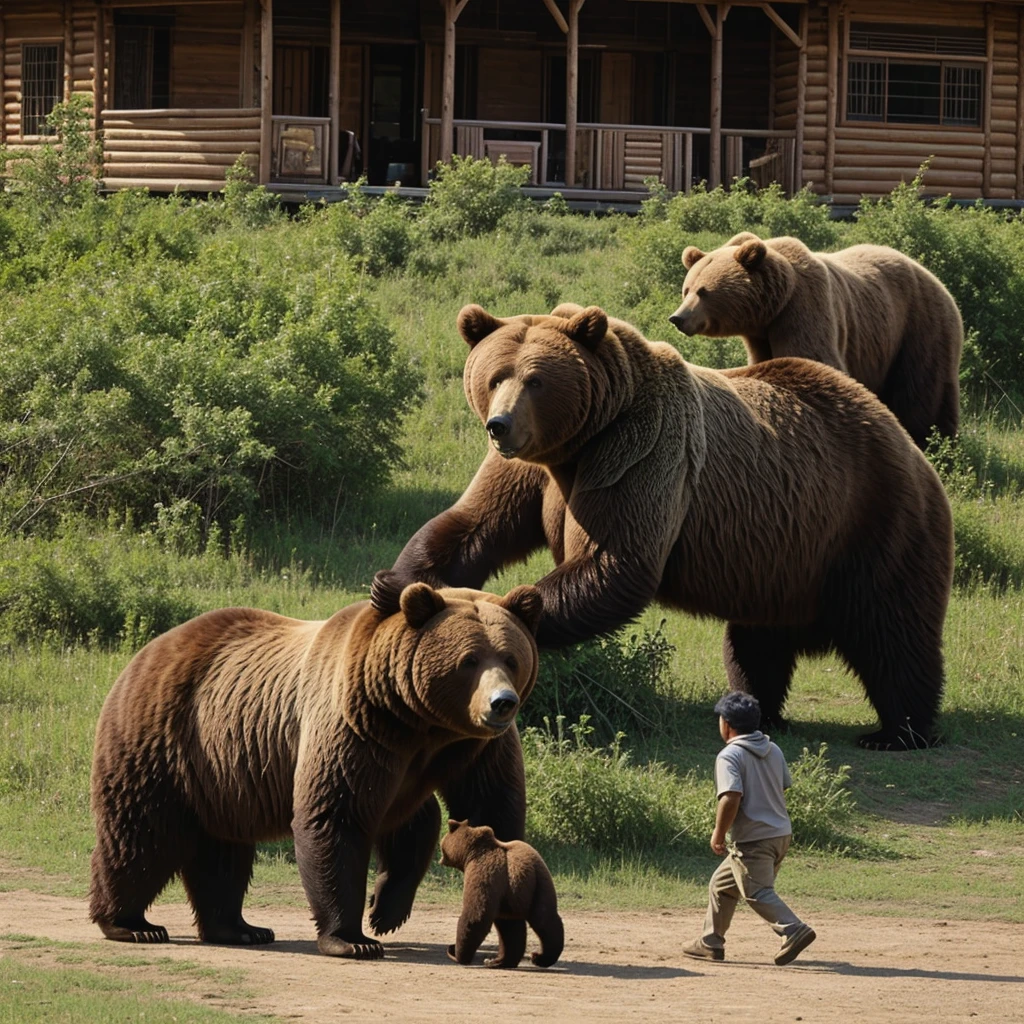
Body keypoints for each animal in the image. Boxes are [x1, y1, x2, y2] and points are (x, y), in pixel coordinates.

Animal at [90, 585, 544, 958]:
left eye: (510, 657)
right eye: (469, 660)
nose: (501, 702)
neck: (421, 723)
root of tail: (146, 651)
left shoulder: (475, 748)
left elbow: (486, 810)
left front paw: (385, 912)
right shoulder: (357, 726)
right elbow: (336, 815)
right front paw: (353, 939)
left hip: (221, 774)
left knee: (221, 849)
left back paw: (239, 928)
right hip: (166, 741)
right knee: (141, 833)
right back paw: (131, 924)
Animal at [374, 299, 950, 749]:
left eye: (535, 380)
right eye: (494, 376)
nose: (500, 424)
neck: (577, 444)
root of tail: (904, 439)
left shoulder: (639, 453)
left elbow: (615, 559)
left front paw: (514, 613)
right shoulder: (529, 470)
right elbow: (474, 526)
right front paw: (393, 586)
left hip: (873, 519)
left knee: (893, 630)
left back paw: (897, 731)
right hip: (781, 556)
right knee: (758, 641)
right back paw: (759, 707)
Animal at [440, 815, 565, 966]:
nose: (440, 859)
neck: (470, 853)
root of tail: (522, 871)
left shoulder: (482, 874)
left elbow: (475, 915)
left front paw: (458, 954)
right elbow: (510, 927)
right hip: (541, 884)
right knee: (545, 920)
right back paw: (539, 957)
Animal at [667, 234, 962, 446]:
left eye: (703, 292)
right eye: (686, 289)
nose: (677, 318)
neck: (774, 305)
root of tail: (938, 281)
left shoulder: (805, 309)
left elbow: (812, 358)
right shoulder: (760, 335)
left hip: (919, 326)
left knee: (923, 391)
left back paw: (933, 442)